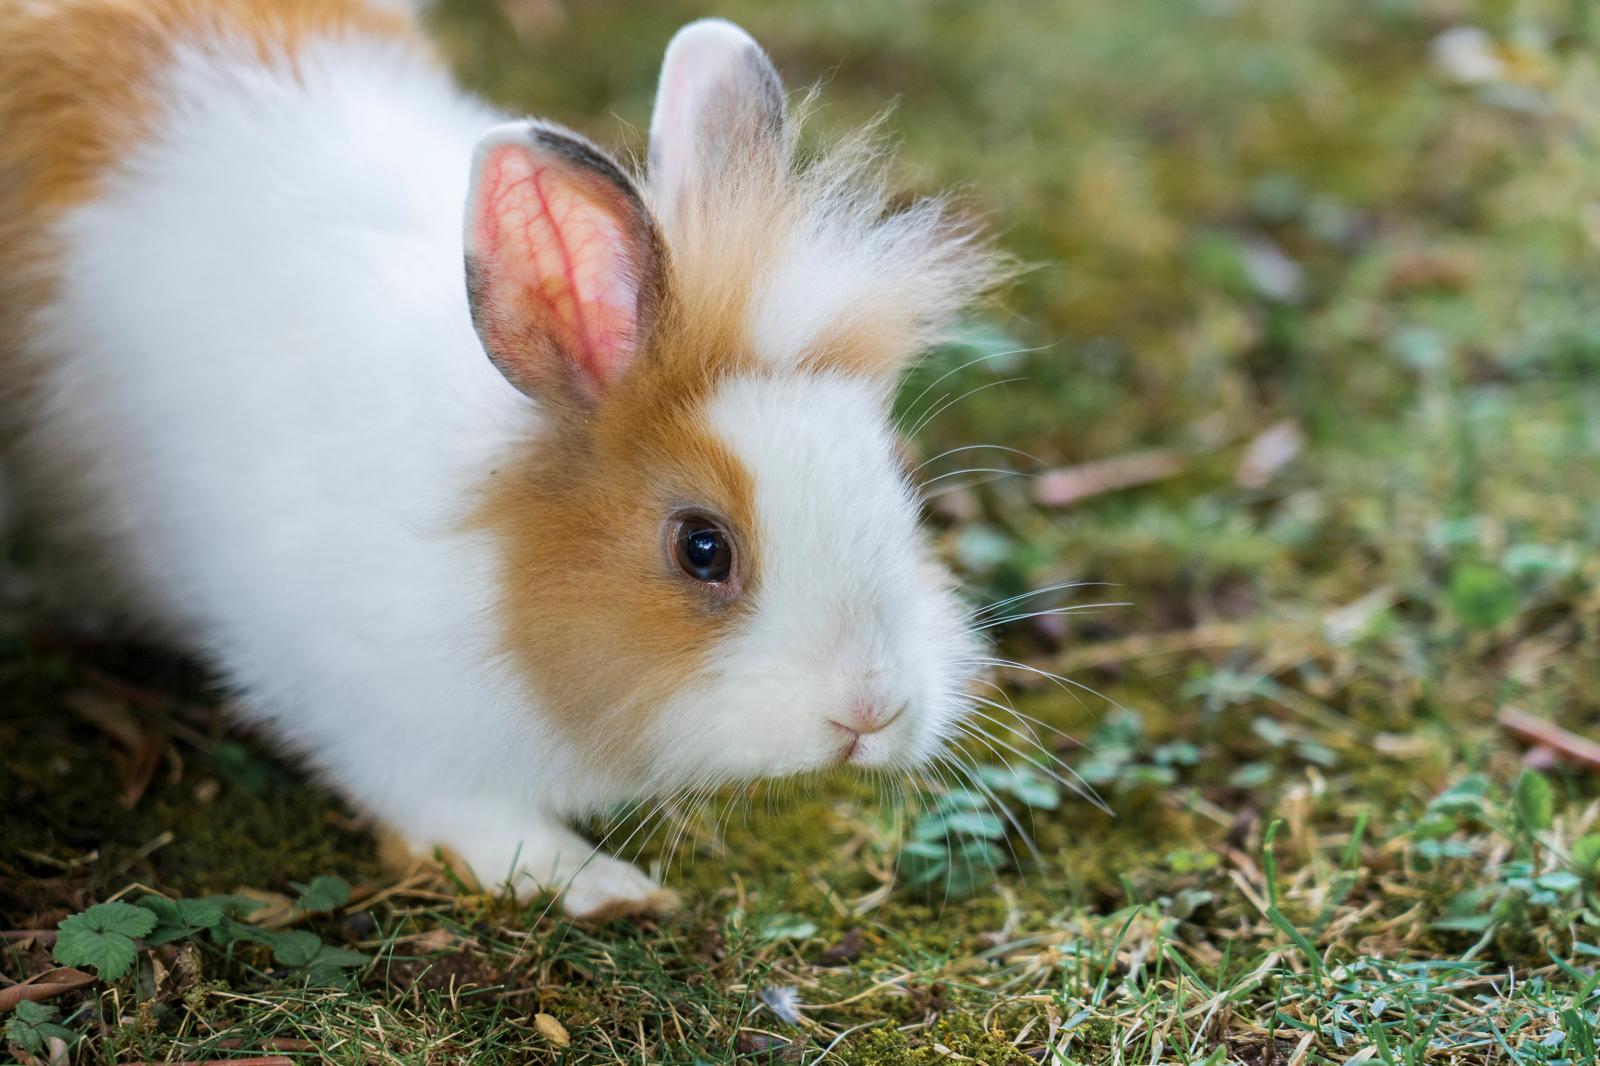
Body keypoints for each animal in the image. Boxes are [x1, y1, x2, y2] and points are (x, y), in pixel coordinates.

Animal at [0, 0, 1000, 918]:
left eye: (901, 489)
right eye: (702, 549)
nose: (870, 712)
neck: (496, 560)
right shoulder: (378, 720)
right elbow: (471, 819)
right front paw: (603, 887)